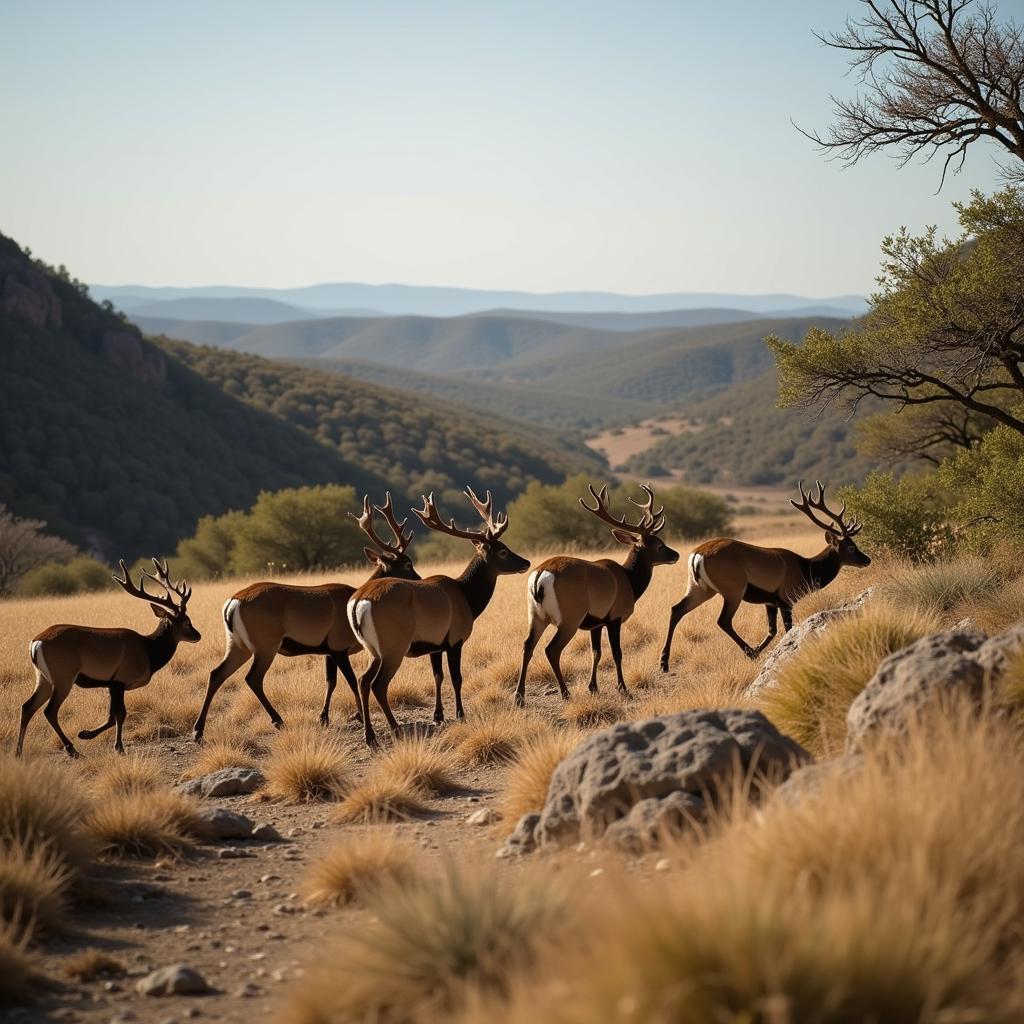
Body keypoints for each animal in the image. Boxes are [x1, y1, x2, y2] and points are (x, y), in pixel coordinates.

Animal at [16, 557, 198, 757]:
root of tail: (36, 642)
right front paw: (118, 747)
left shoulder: (111, 684)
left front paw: (86, 734)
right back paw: (72, 750)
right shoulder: (120, 679)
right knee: (49, 710)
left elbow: (111, 716)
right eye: (186, 621)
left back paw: (18, 752)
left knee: (27, 706)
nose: (198, 635)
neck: (148, 651)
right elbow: (120, 714)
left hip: (43, 677)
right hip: (63, 675)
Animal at [190, 491, 417, 741]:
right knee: (252, 678)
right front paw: (357, 715)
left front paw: (324, 718)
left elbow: (331, 681)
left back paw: (198, 730)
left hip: (238, 643)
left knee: (216, 674)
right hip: (266, 643)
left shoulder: (328, 649)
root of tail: (232, 602)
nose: (419, 580)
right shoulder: (338, 645)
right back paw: (278, 720)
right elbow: (349, 680)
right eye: (407, 564)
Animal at [348, 487, 532, 745]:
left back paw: (370, 736)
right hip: (393, 644)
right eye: (503, 551)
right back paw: (394, 728)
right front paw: (460, 714)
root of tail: (358, 601)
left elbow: (438, 676)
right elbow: (456, 677)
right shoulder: (455, 638)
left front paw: (438, 716)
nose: (526, 562)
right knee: (378, 684)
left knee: (363, 681)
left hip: (373, 648)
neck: (467, 599)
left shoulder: (434, 644)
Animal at [512, 479, 679, 704]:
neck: (630, 582)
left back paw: (519, 697)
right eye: (659, 545)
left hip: (535, 614)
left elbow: (596, 653)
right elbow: (617, 653)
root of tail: (540, 576)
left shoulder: (596, 621)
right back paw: (565, 693)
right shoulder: (614, 616)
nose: (676, 555)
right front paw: (623, 688)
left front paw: (593, 688)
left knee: (527, 646)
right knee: (551, 649)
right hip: (570, 616)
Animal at [659, 479, 868, 671]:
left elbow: (772, 631)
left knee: (676, 609)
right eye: (851, 547)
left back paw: (664, 662)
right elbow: (788, 629)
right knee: (723, 620)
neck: (806, 569)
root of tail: (697, 554)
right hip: (734, 589)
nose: (867, 559)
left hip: (700, 588)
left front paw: (763, 651)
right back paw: (749, 652)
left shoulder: (770, 601)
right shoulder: (785, 599)